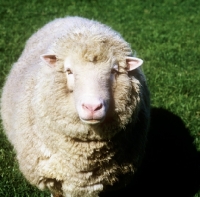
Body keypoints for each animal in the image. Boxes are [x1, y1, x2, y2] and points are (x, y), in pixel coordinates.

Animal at [0, 16, 150, 197]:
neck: (84, 160)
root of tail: (71, 17)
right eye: (69, 71)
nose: (92, 107)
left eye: (114, 71)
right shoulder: (53, 177)